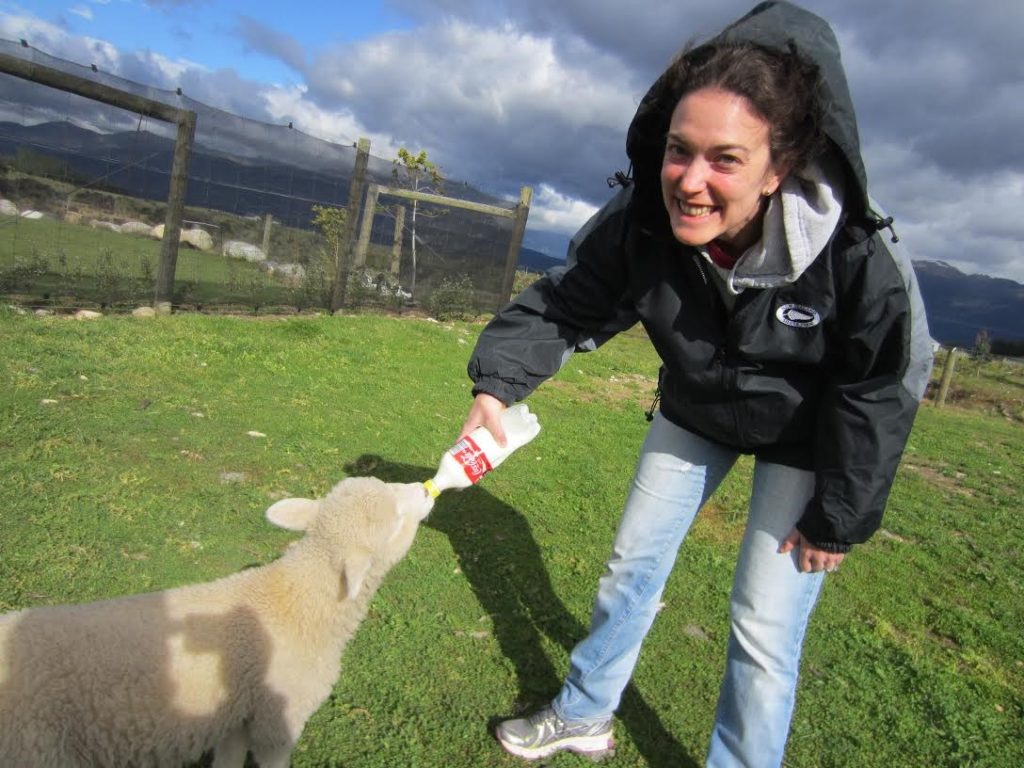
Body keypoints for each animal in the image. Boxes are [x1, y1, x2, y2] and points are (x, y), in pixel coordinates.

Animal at [0, 479, 434, 765]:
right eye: (397, 518)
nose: (425, 487)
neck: (299, 603)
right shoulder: (278, 722)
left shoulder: (235, 718)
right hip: (31, 750)